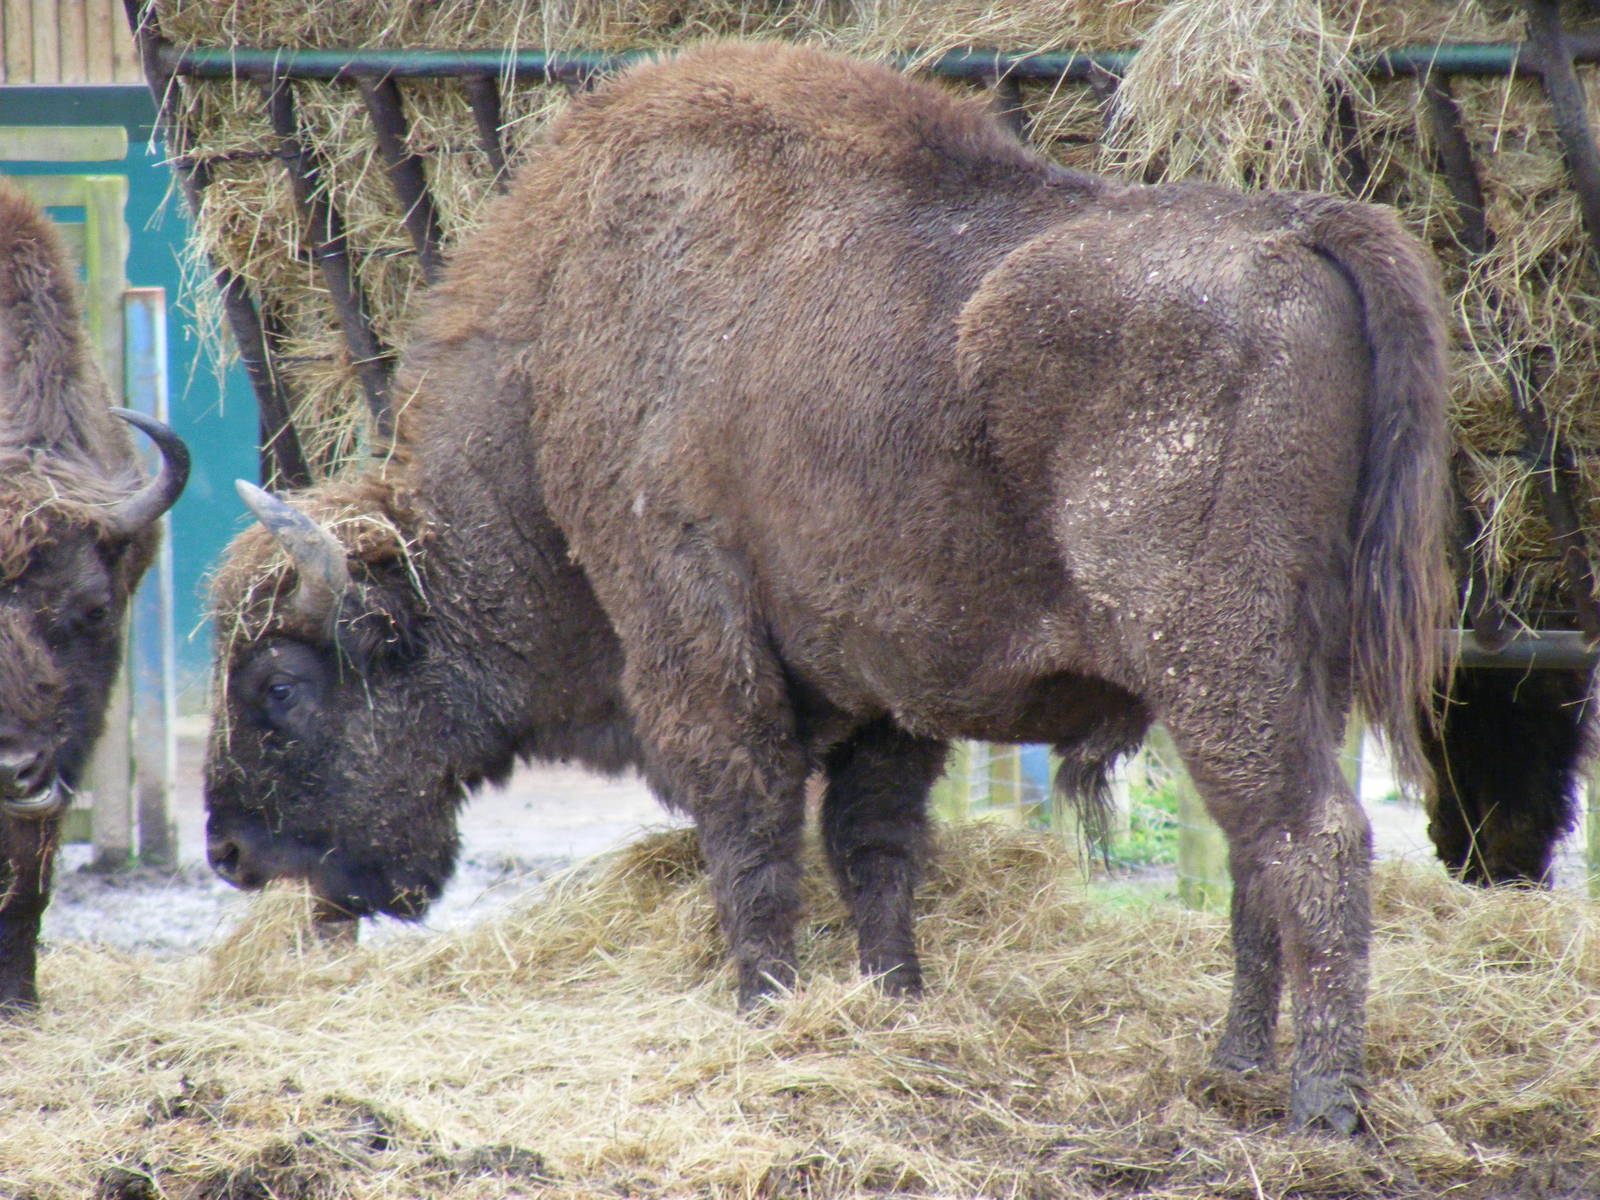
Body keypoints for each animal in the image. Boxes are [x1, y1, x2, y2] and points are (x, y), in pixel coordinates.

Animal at [204, 43, 1451, 1132]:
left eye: (278, 691)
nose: (230, 854)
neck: (553, 369)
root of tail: (1299, 227)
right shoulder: (883, 690)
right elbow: (871, 849)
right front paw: (891, 1000)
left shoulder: (697, 652)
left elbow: (752, 835)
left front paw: (764, 1009)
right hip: (1290, 670)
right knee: (1257, 851)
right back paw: (1232, 1063)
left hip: (1216, 657)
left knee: (1311, 838)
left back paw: (1318, 1106)